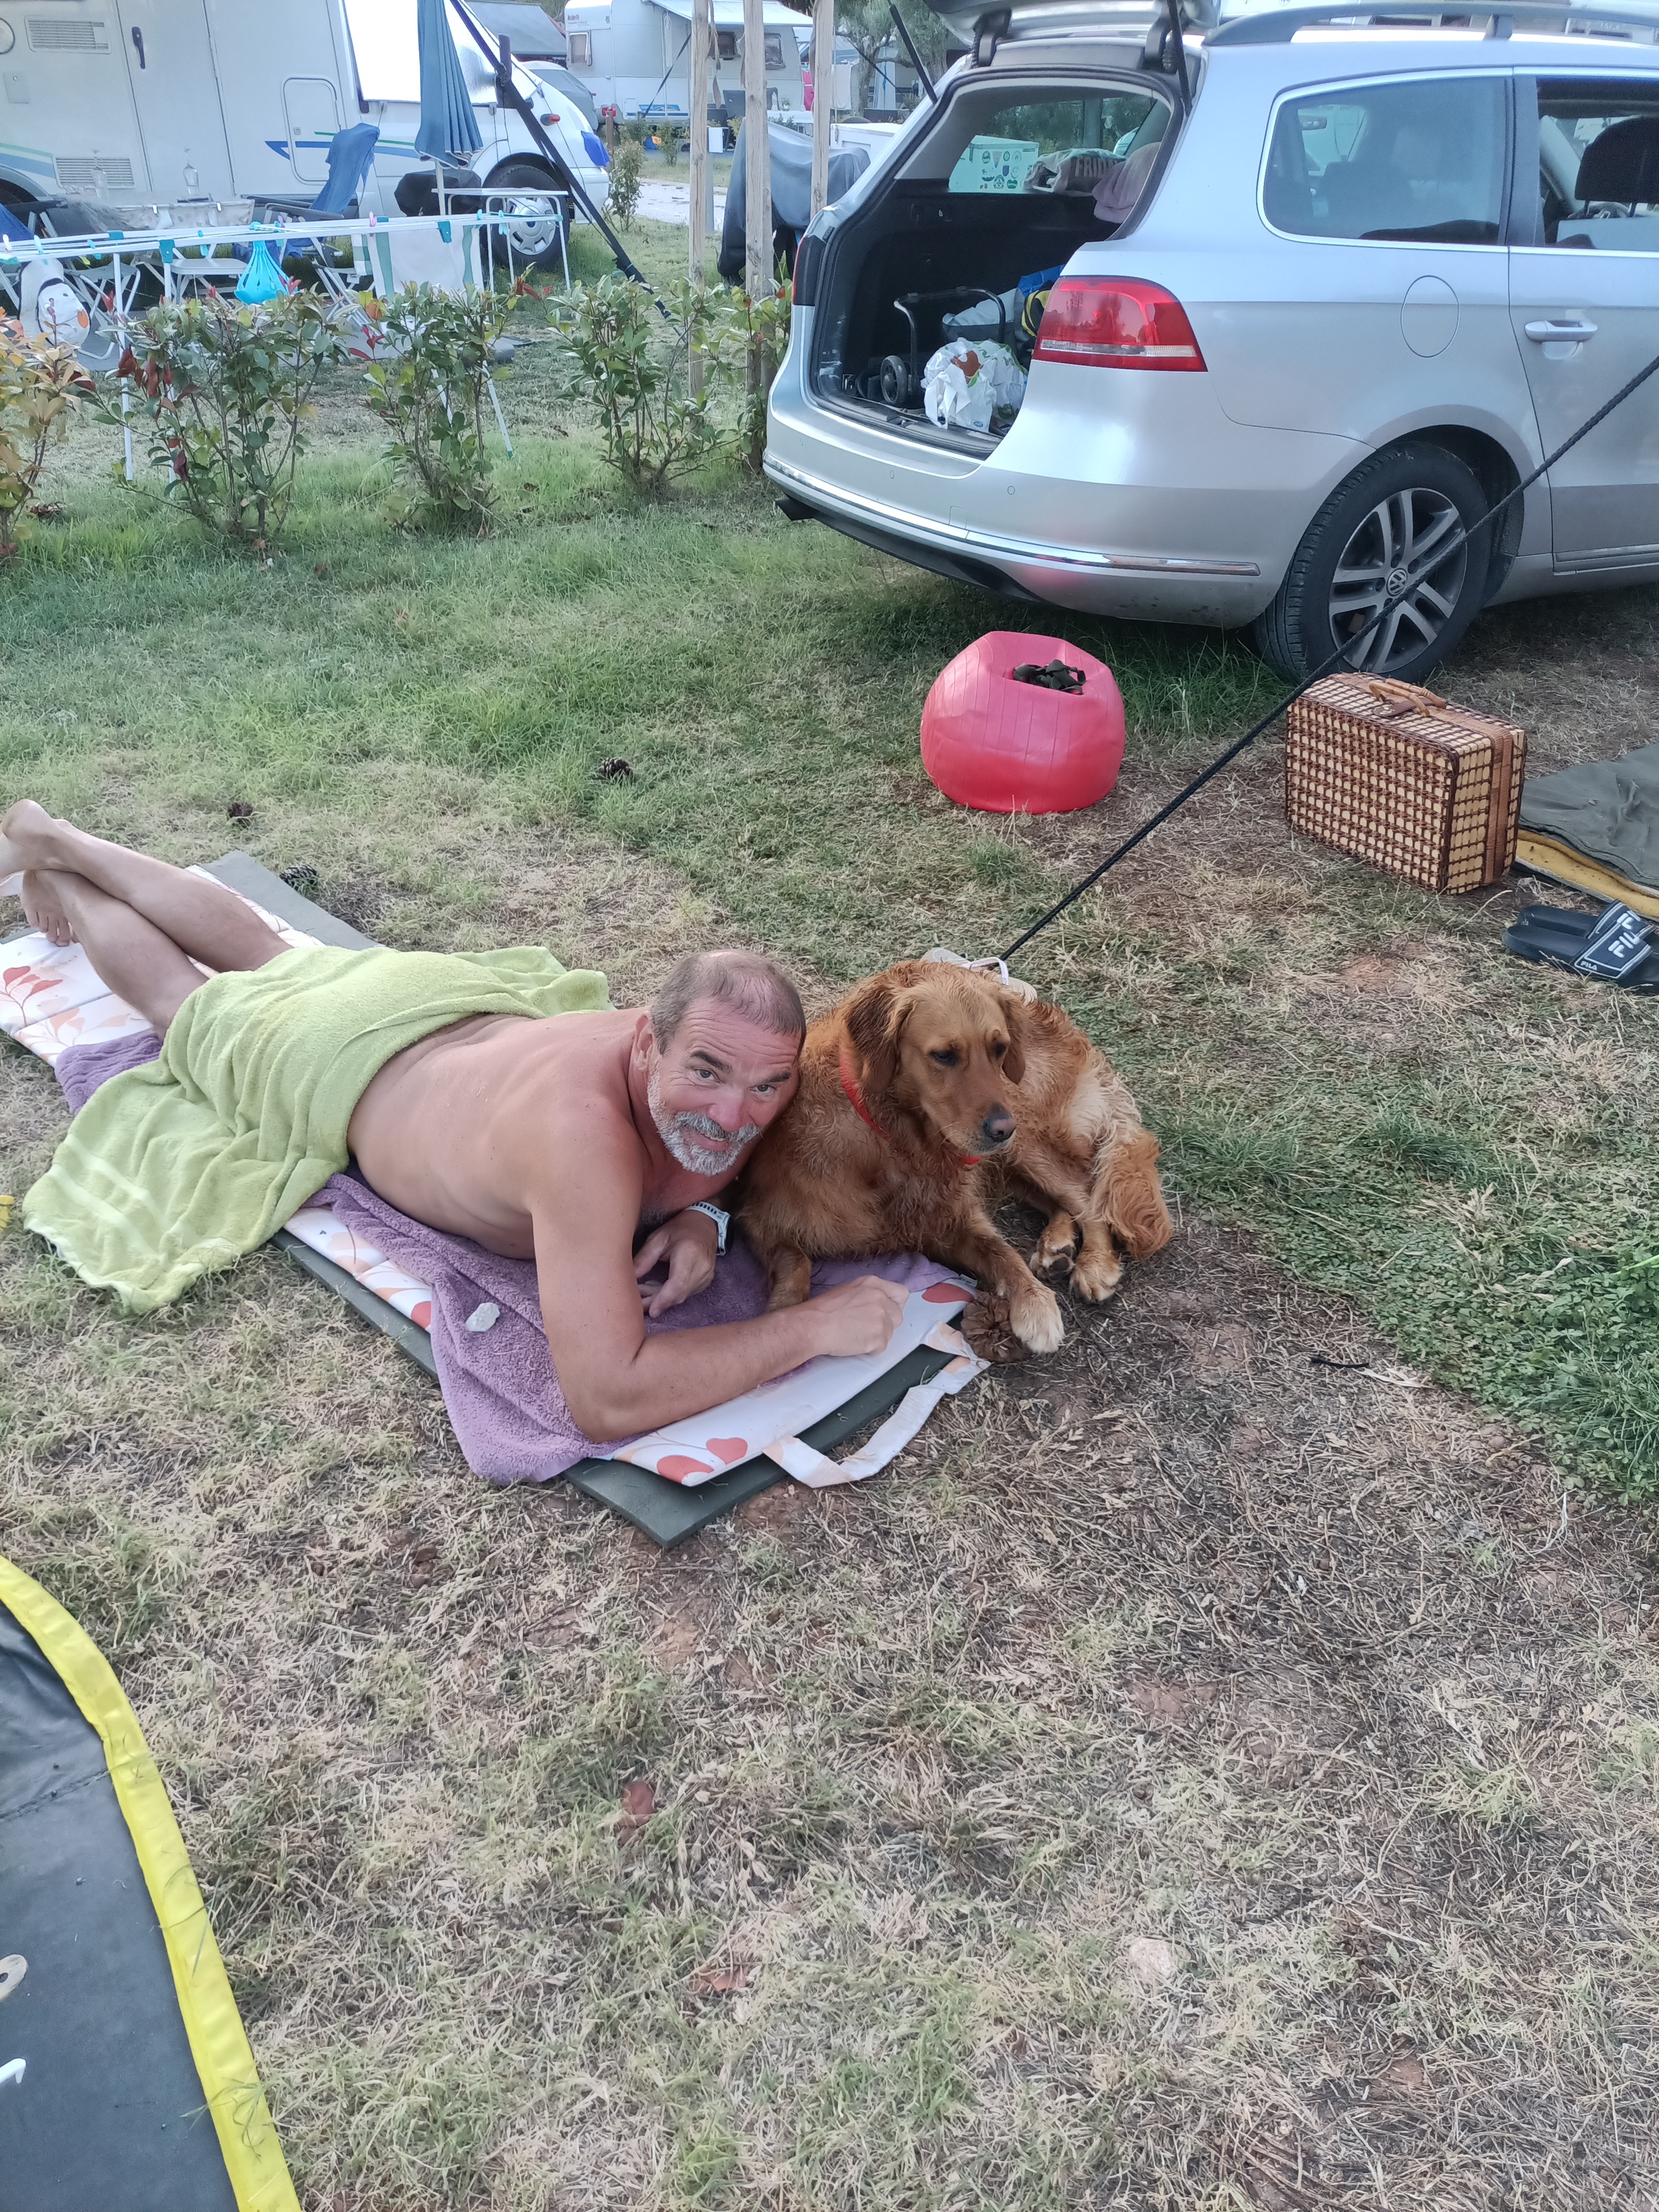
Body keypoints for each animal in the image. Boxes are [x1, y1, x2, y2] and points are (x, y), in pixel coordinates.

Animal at [736, 960, 1172, 1354]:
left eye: (1000, 1049)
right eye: (945, 1055)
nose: (1002, 1128)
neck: (897, 1140)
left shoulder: (953, 1221)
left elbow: (1002, 1251)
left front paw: (1035, 1305)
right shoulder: (764, 1220)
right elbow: (797, 1263)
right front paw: (785, 1312)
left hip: (1027, 1140)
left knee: (1087, 1199)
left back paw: (1094, 1264)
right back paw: (1059, 1245)